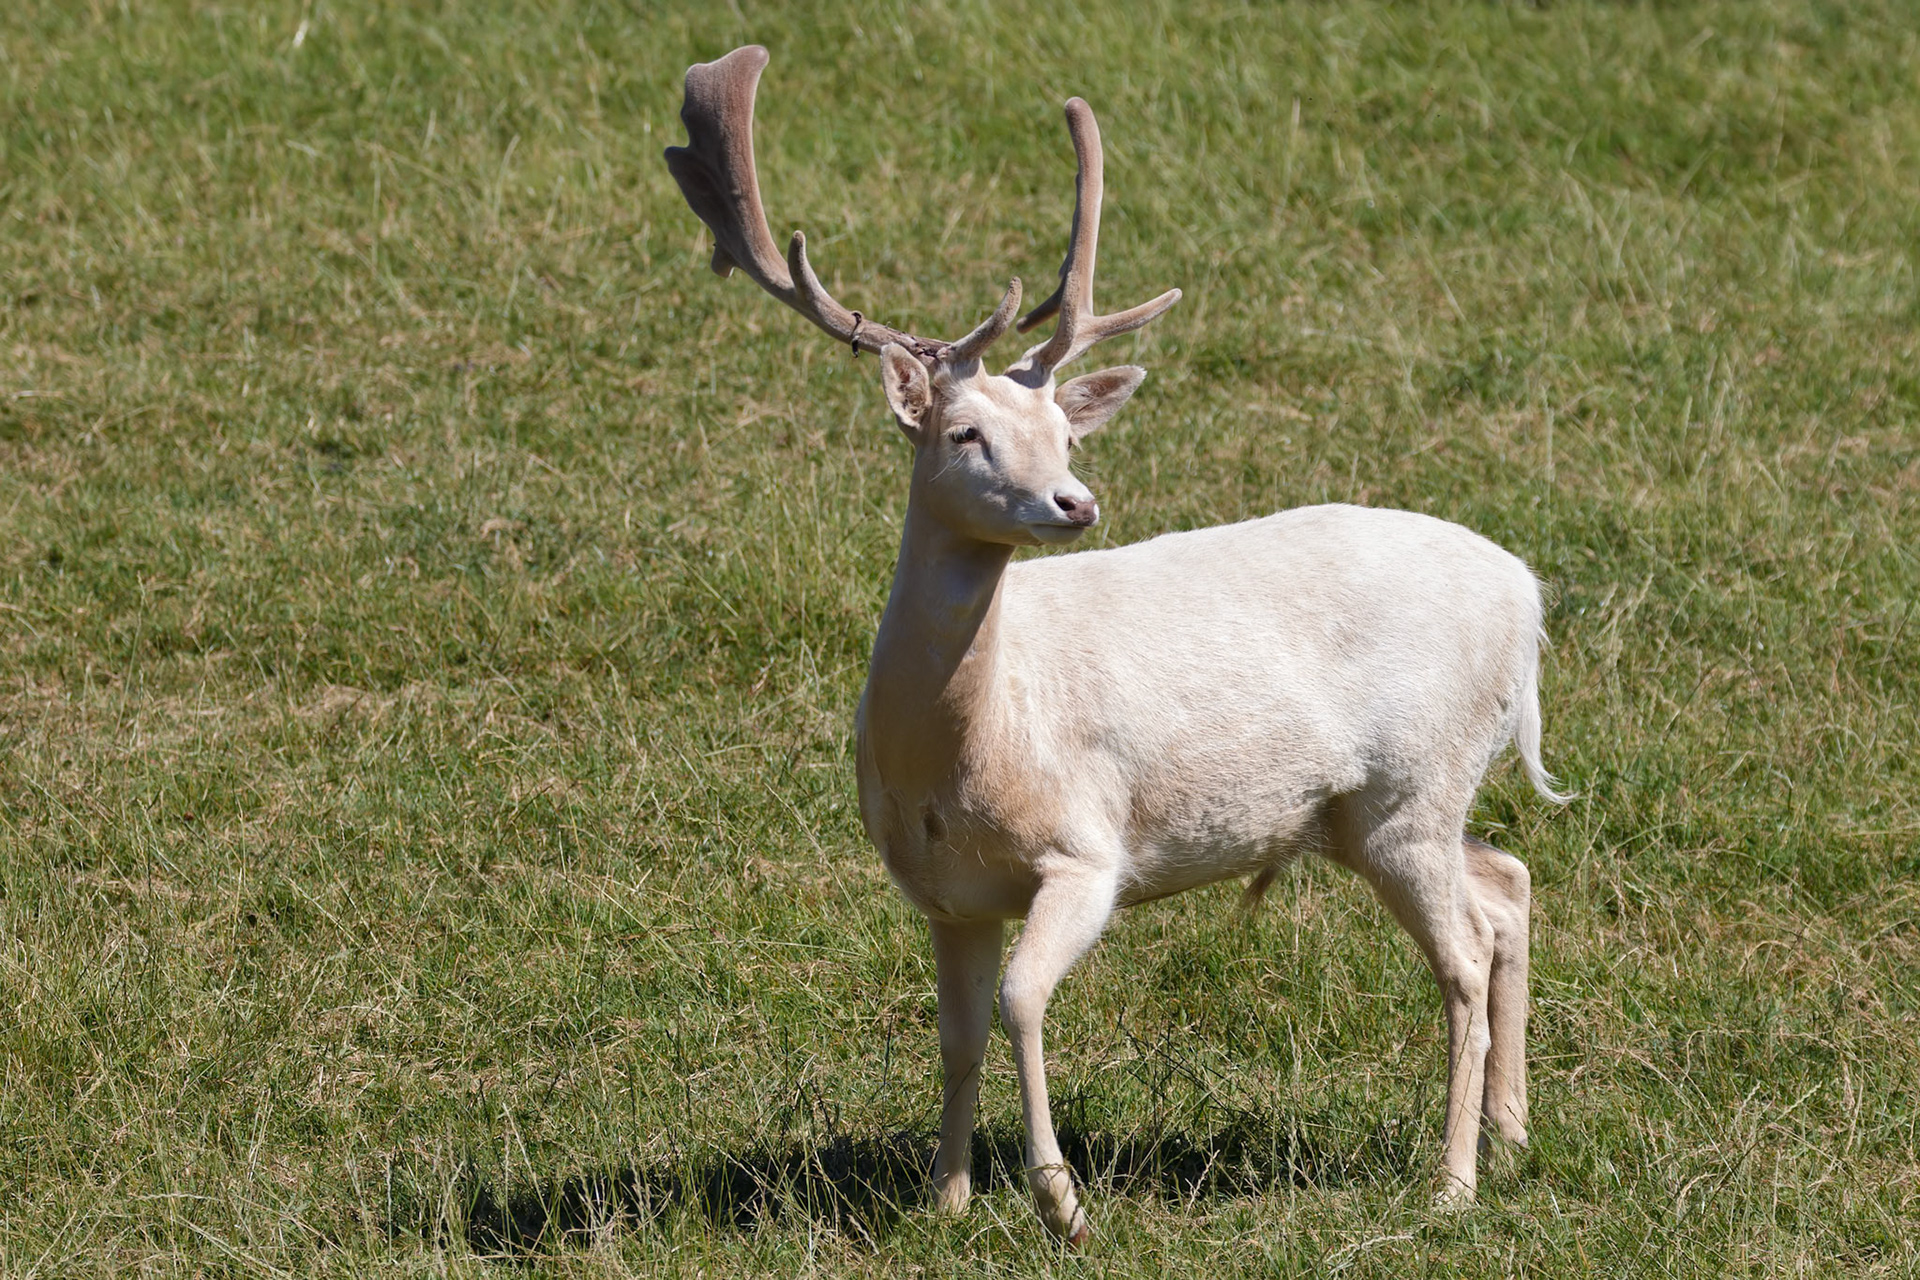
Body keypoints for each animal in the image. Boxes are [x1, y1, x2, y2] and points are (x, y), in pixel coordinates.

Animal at [666, 45, 1567, 1245]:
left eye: (1064, 433)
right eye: (965, 432)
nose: (1075, 500)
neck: (965, 755)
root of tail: (1526, 599)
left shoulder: (1088, 851)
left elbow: (1020, 1002)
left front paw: (1061, 1201)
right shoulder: (944, 893)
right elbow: (956, 1033)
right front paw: (945, 1197)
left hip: (1412, 786)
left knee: (1463, 956)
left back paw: (1452, 1181)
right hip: (1369, 809)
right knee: (1505, 878)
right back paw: (1512, 1133)